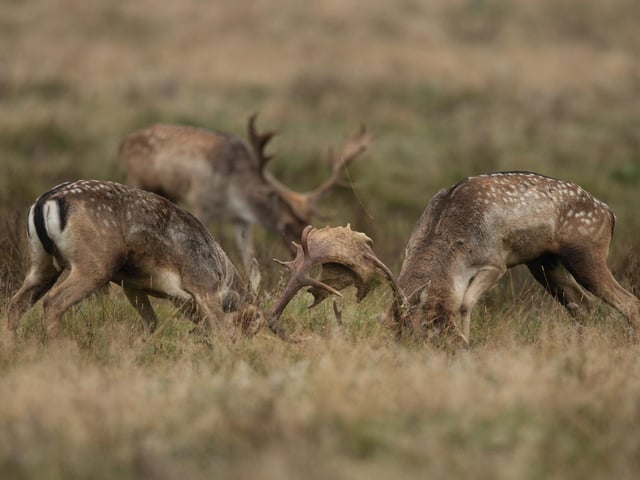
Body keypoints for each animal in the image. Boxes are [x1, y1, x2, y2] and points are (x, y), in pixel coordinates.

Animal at [6, 180, 262, 341]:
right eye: (253, 319)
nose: (242, 344)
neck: (220, 272)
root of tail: (44, 203)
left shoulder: (133, 285)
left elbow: (151, 322)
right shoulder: (202, 285)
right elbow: (219, 327)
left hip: (40, 262)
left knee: (16, 303)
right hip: (94, 264)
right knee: (53, 302)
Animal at [119, 114, 372, 269]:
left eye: (309, 224)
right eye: (286, 224)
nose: (297, 253)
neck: (233, 193)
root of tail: (123, 143)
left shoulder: (242, 220)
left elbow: (248, 256)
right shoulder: (200, 202)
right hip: (137, 179)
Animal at [266, 172, 640, 346]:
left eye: (427, 330)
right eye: (397, 336)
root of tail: (610, 213)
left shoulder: (495, 261)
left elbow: (463, 303)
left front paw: (467, 341)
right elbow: (461, 301)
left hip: (586, 253)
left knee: (628, 303)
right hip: (545, 264)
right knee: (583, 307)